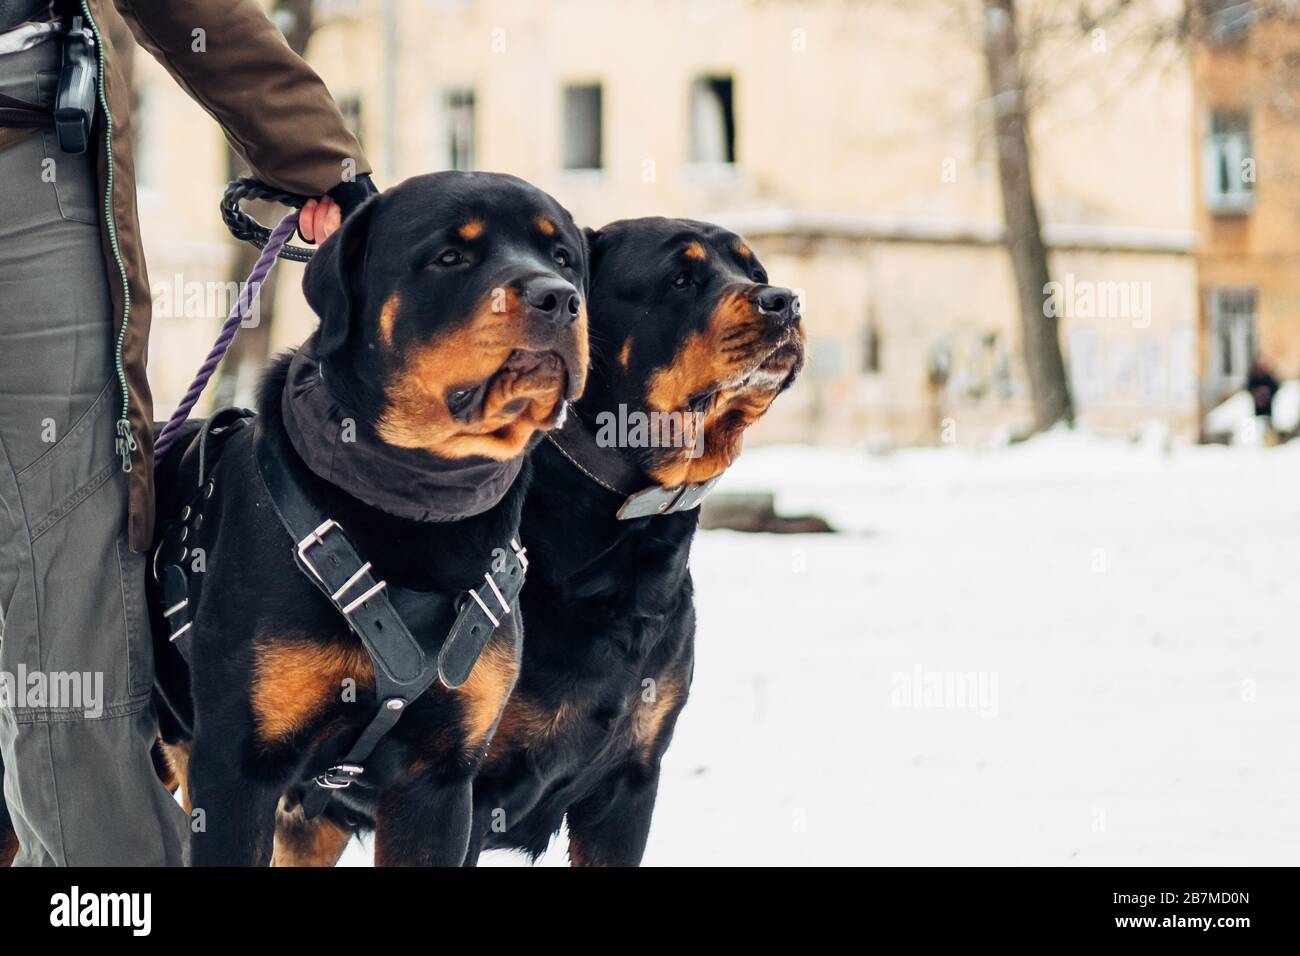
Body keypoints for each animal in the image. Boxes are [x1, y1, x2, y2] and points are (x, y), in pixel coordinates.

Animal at [144, 171, 587, 868]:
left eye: (564, 258)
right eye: (450, 256)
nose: (559, 299)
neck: (420, 507)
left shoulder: (442, 781)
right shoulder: (236, 769)